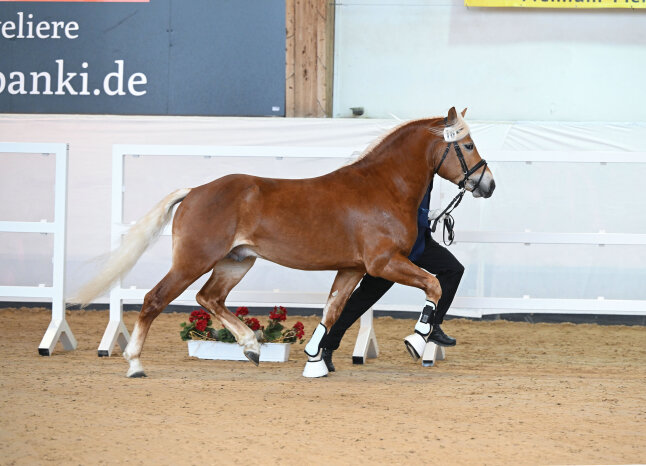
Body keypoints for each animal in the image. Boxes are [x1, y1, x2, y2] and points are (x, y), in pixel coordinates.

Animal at [72, 107, 496, 376]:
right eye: (468, 145)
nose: (488, 184)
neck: (382, 187)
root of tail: (195, 191)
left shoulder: (351, 269)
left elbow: (333, 311)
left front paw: (315, 362)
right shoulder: (383, 264)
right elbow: (434, 285)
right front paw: (417, 340)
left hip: (236, 262)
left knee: (210, 298)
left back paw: (251, 346)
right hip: (193, 260)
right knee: (154, 300)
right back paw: (135, 364)